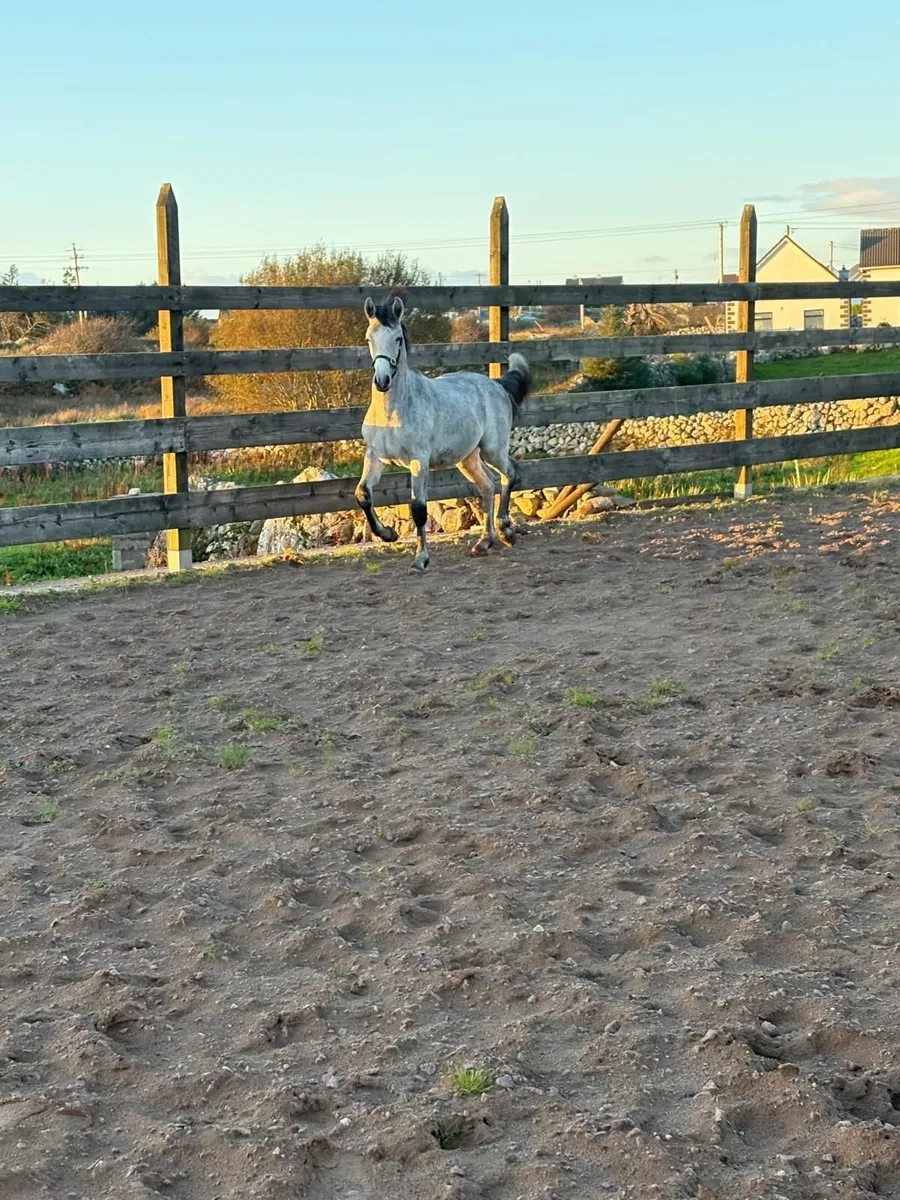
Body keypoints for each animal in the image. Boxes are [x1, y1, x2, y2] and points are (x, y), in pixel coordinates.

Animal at [355, 294, 531, 573]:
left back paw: (506, 531)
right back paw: (484, 542)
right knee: (488, 486)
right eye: (368, 338)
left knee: (510, 473)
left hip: (493, 449)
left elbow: (418, 508)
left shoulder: (419, 460)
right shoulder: (376, 457)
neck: (394, 410)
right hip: (468, 458)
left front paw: (420, 558)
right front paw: (389, 534)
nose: (382, 381)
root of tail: (497, 385)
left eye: (398, 338)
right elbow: (363, 494)